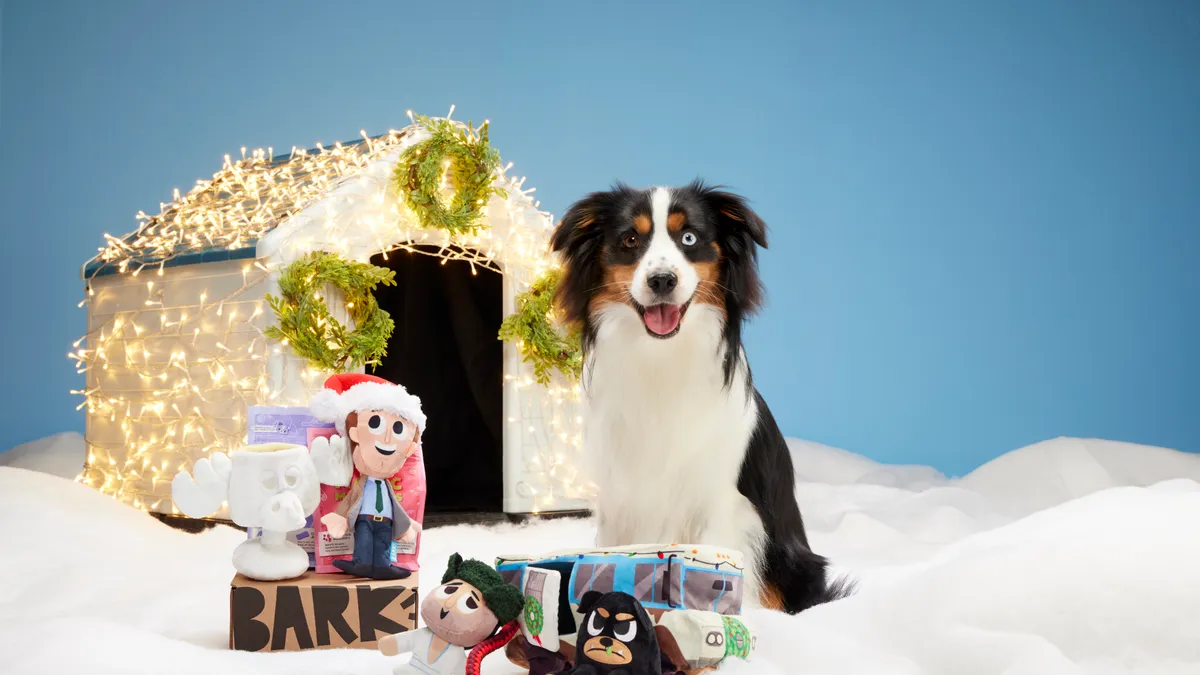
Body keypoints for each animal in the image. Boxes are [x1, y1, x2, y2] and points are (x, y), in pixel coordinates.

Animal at [549, 178, 849, 610]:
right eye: (630, 240)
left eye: (689, 238)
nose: (662, 280)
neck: (661, 356)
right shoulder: (619, 497)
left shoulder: (723, 502)